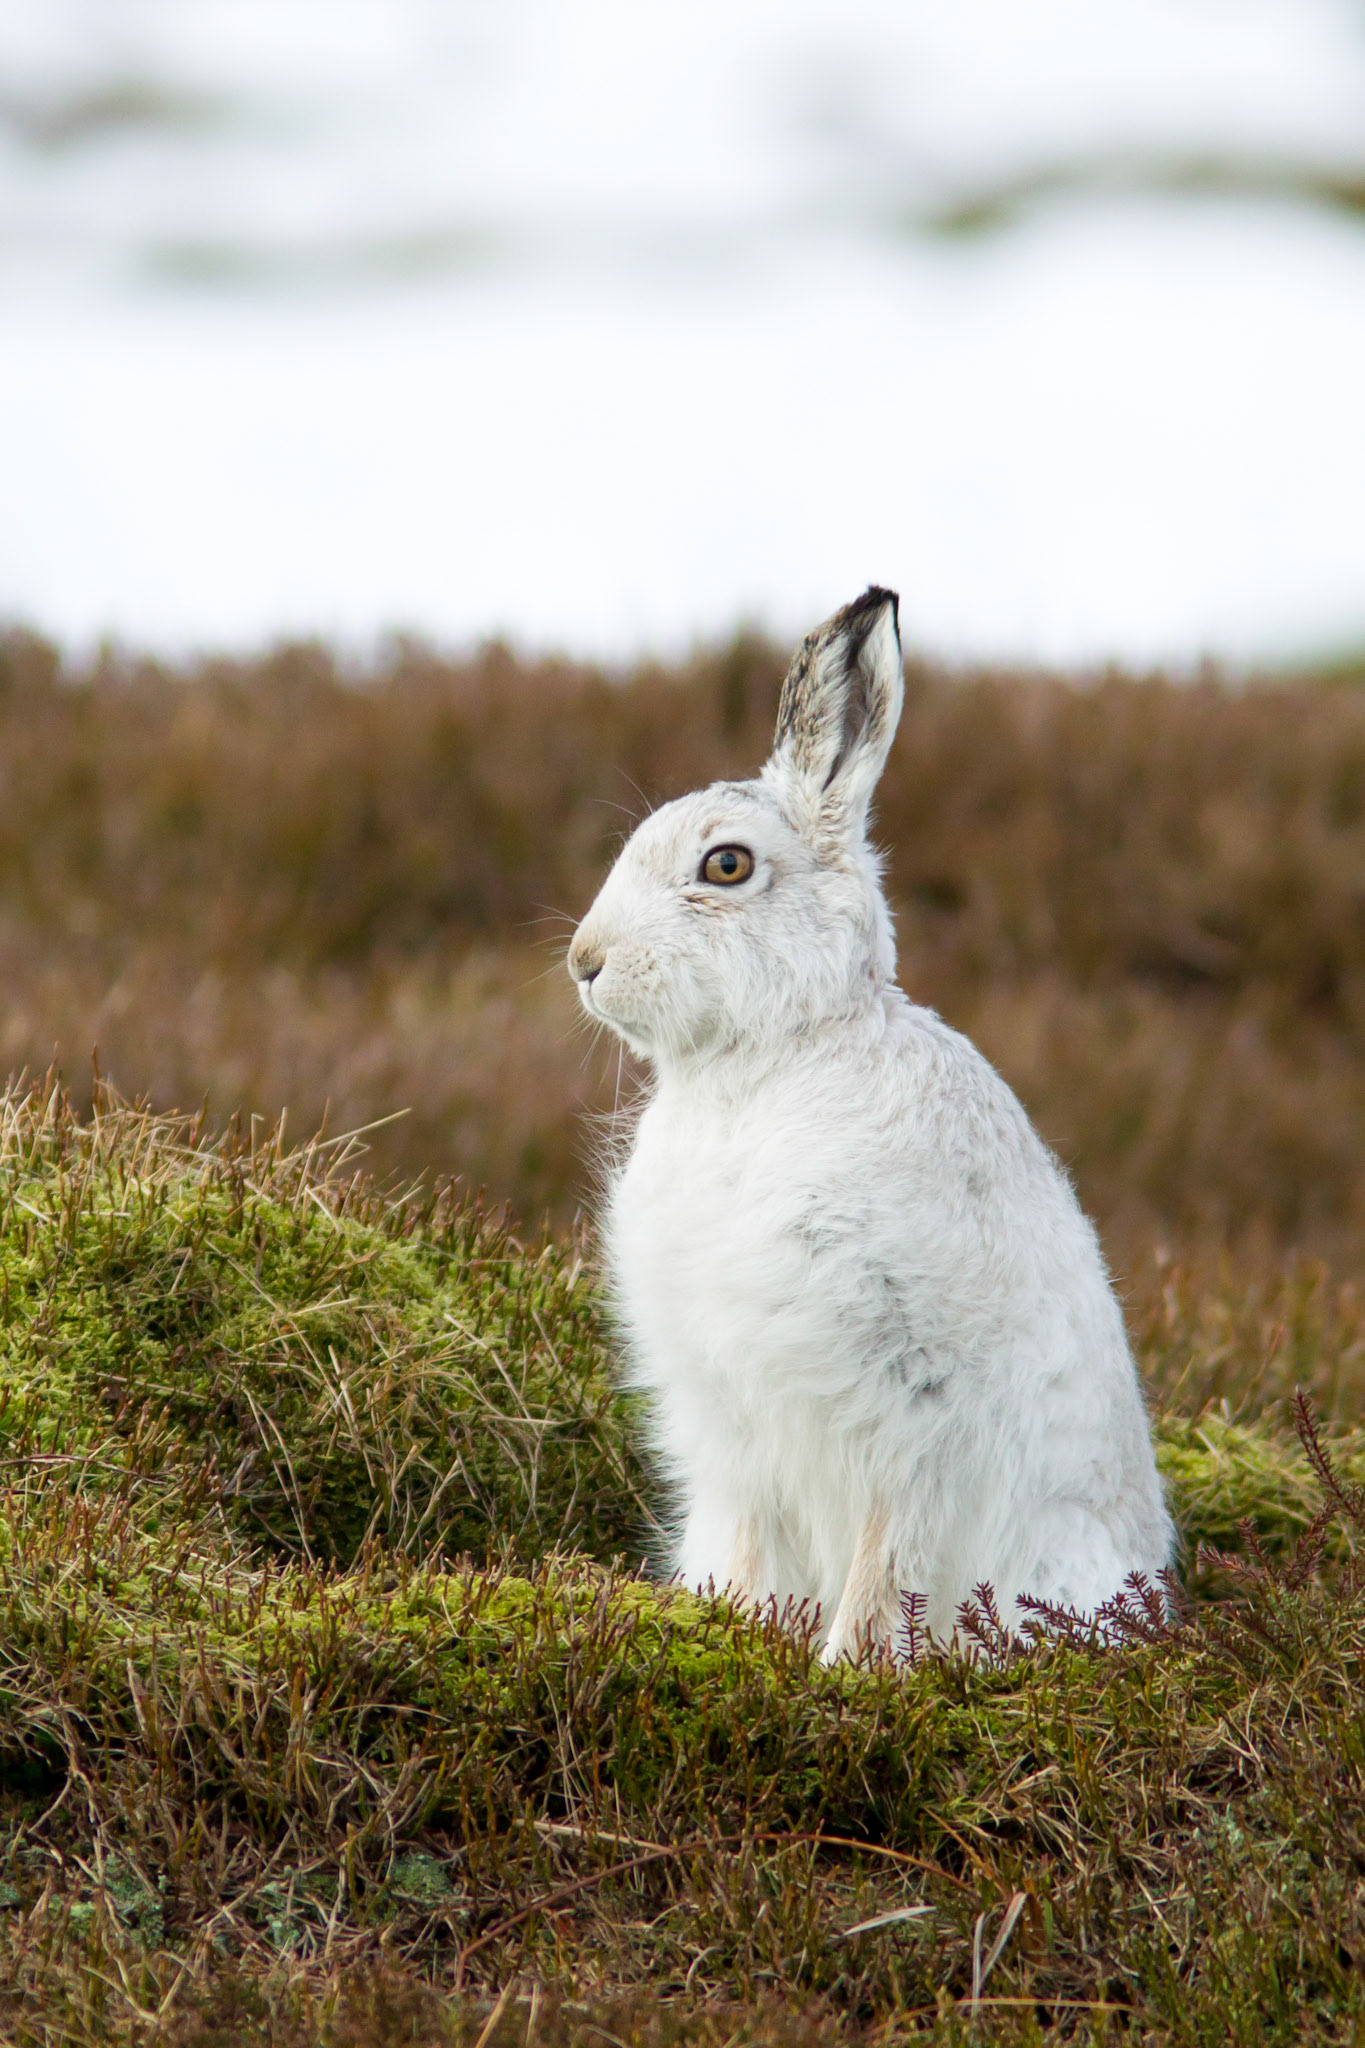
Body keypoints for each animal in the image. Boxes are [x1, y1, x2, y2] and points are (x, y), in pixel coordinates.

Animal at [567, 586, 1174, 1658]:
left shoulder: (915, 1410)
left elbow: (886, 1570)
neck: (771, 1058)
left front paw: (847, 1671)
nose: (585, 962)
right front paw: (737, 1636)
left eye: (726, 865)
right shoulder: (737, 1432)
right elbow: (756, 1554)